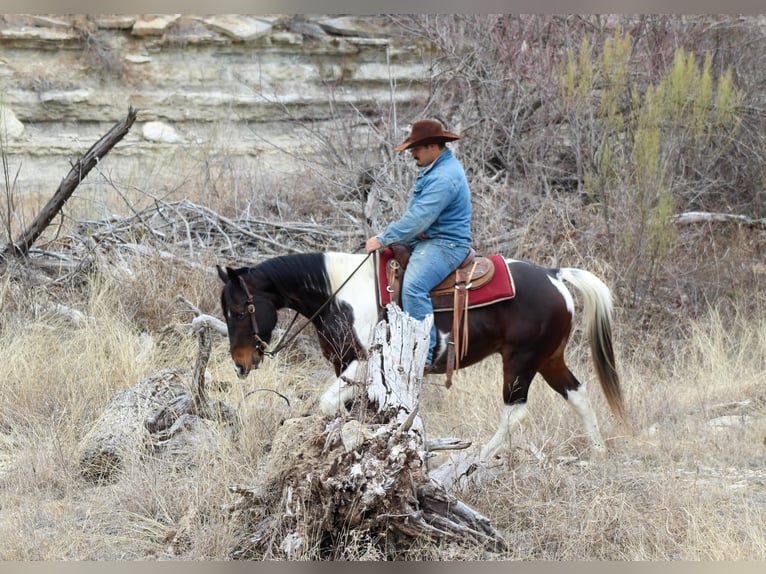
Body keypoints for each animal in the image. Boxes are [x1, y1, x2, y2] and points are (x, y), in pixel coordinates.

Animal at [218, 253, 632, 464]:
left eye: (239, 310)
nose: (240, 363)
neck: (339, 293)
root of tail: (554, 275)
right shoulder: (343, 365)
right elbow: (348, 411)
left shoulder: (362, 362)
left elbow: (326, 404)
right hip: (549, 358)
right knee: (578, 394)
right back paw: (598, 453)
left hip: (521, 361)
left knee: (516, 411)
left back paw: (476, 460)